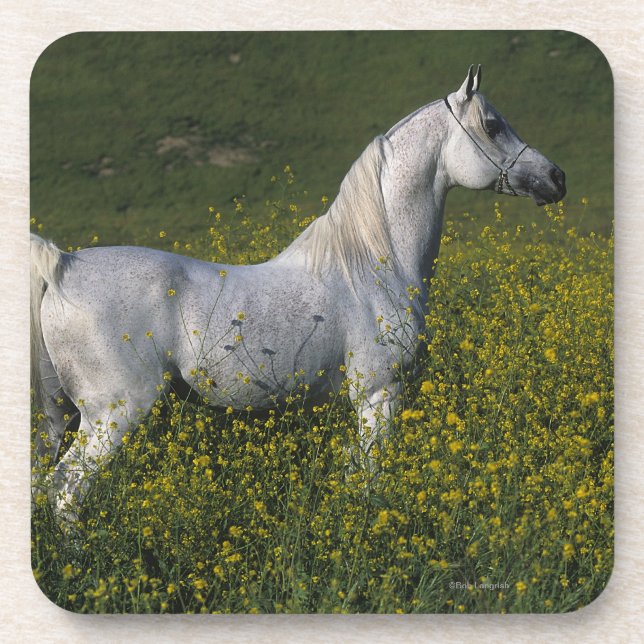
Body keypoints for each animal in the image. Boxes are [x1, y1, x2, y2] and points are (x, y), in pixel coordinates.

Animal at [31, 66, 566, 521]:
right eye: (492, 126)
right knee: (65, 493)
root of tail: (63, 267)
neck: (374, 263)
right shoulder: (379, 394)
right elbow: (369, 478)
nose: (556, 178)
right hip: (113, 415)